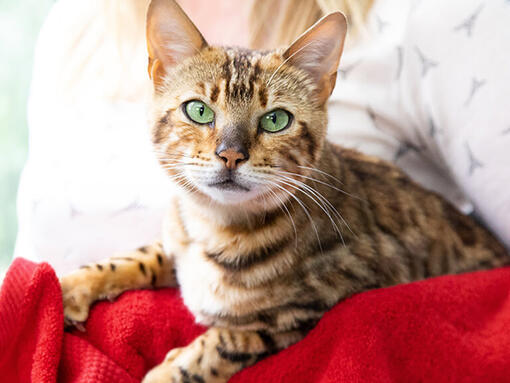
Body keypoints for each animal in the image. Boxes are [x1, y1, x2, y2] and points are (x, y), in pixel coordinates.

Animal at [58, 0, 506, 383]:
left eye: (276, 120)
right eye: (199, 110)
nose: (231, 154)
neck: (216, 226)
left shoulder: (310, 308)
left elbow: (224, 342)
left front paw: (169, 371)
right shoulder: (176, 242)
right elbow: (136, 255)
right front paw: (70, 287)